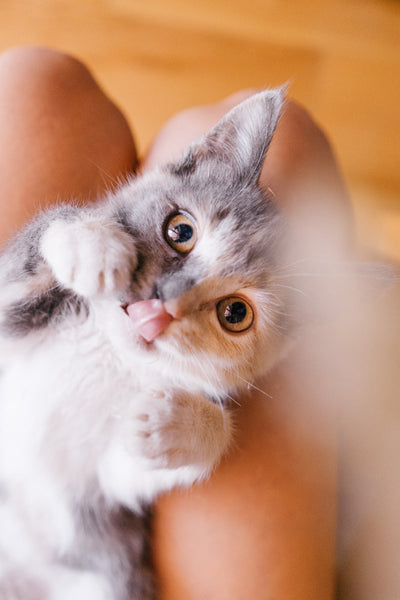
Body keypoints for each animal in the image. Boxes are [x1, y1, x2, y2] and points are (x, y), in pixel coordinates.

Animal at [0, 89, 290, 600]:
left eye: (235, 314)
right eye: (181, 230)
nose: (163, 302)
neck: (109, 354)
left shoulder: (101, 490)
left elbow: (132, 468)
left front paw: (174, 424)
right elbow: (38, 243)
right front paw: (90, 244)